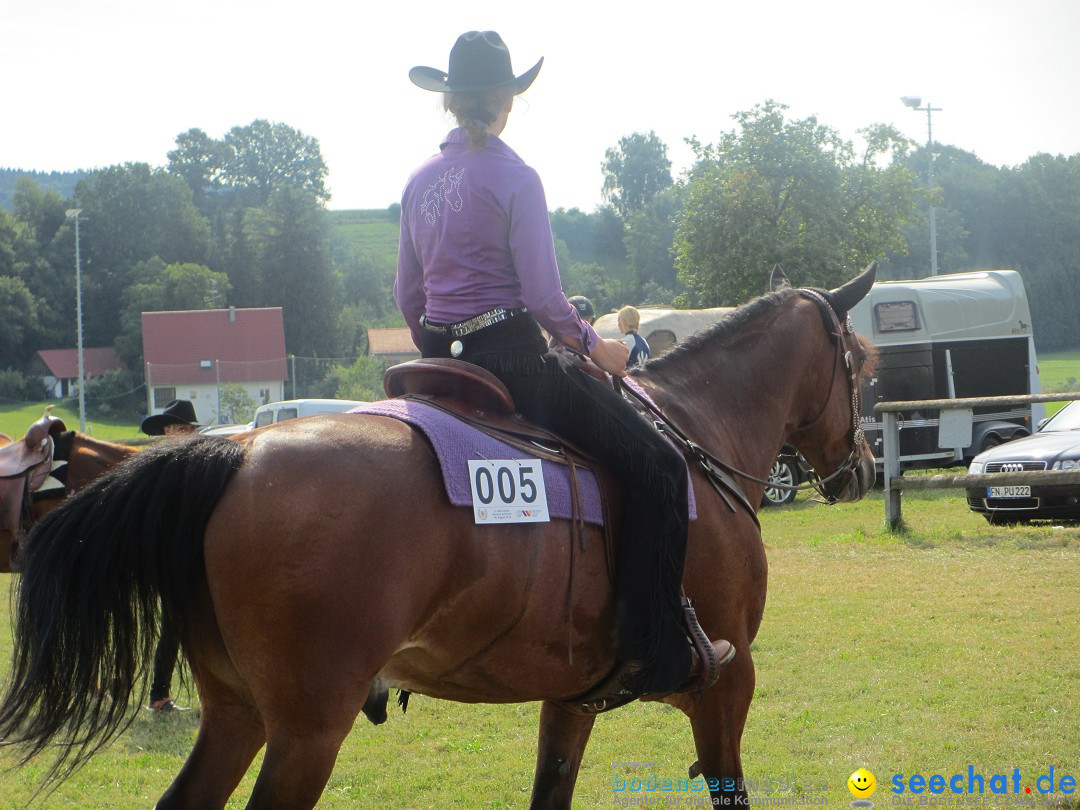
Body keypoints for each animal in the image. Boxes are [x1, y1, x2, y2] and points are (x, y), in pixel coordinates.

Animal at [0, 264, 876, 807]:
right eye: (862, 362)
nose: (861, 466)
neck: (694, 433)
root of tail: (238, 452)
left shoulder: (575, 697)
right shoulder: (728, 683)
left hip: (238, 714)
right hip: (306, 731)